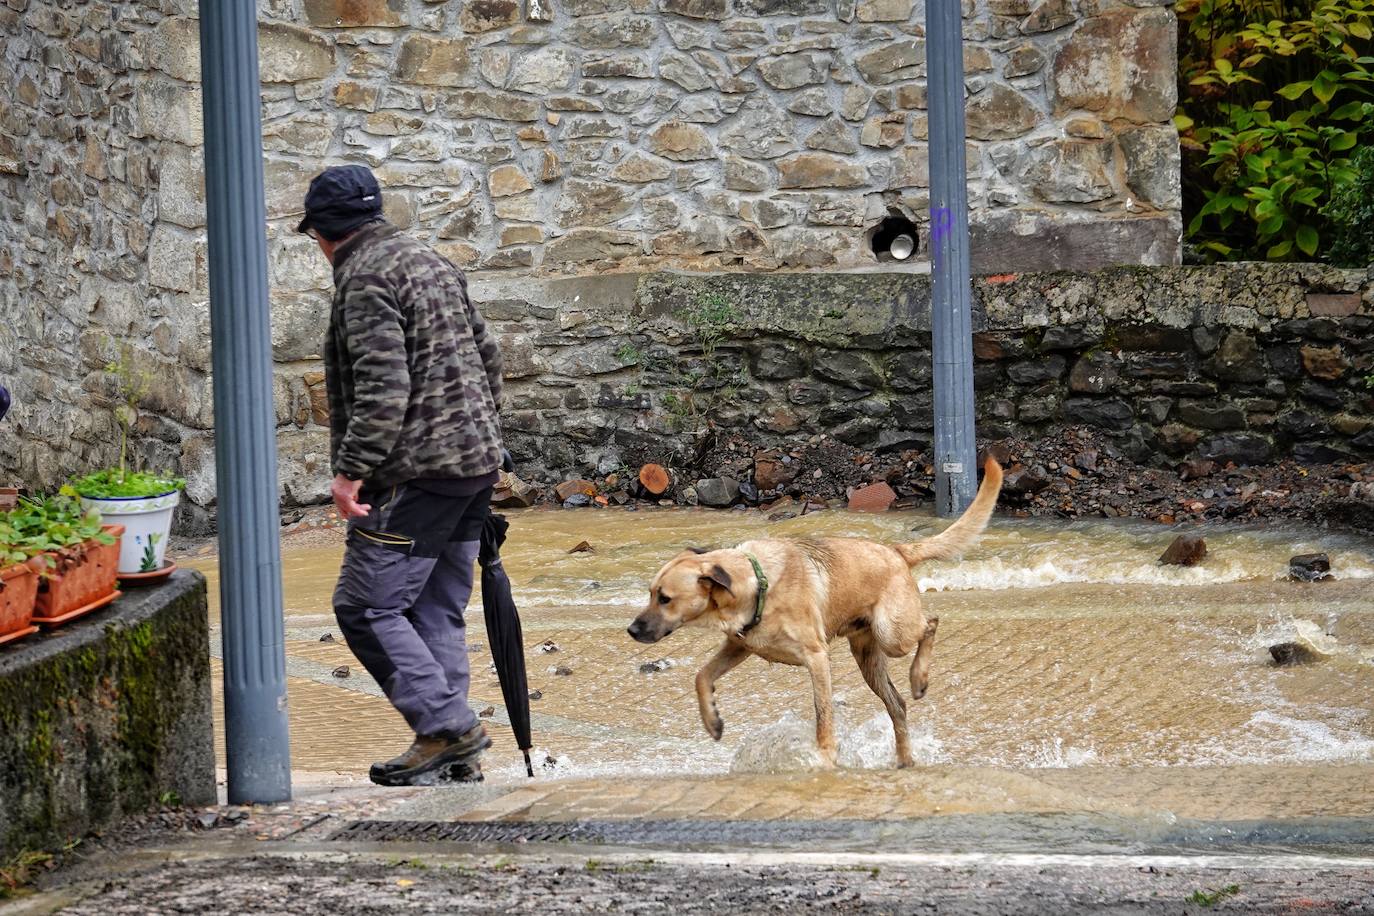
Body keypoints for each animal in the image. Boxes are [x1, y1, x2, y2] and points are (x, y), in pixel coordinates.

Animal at [629, 458, 1005, 769]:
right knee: (897, 705)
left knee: (930, 625)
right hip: (867, 656)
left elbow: (823, 713)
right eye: (650, 594)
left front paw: (823, 756)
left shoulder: (816, 658)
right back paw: (904, 759)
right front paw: (713, 721)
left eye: (665, 598)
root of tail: (896, 551)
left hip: (891, 633)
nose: (632, 630)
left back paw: (919, 678)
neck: (757, 583)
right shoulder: (740, 645)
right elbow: (701, 676)